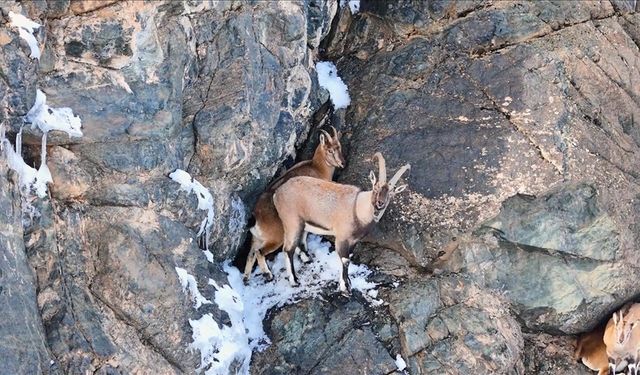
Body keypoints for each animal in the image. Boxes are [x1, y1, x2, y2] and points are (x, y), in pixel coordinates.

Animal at [244, 126, 344, 282]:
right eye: (330, 150)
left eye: (339, 147)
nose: (342, 163)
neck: (317, 168)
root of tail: (256, 216)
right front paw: (305, 256)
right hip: (275, 237)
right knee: (260, 252)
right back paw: (269, 274)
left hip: (256, 239)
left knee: (250, 255)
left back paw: (246, 278)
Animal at [272, 151, 408, 296]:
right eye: (375, 187)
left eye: (391, 193)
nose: (380, 204)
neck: (357, 208)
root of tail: (277, 193)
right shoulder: (341, 238)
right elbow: (345, 260)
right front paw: (345, 288)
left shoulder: (354, 241)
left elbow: (350, 257)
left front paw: (348, 283)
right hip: (292, 222)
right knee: (288, 249)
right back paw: (294, 280)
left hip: (303, 224)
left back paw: (306, 259)